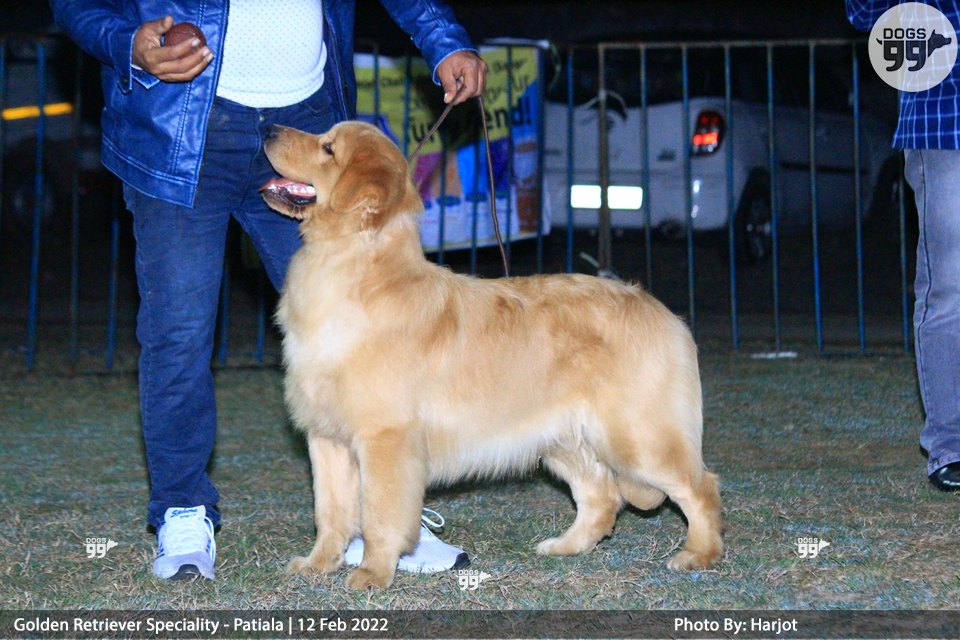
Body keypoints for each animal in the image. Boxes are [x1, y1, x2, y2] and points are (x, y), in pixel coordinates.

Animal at [261, 121, 723, 589]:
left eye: (328, 148)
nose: (269, 127)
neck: (354, 270)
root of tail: (664, 313)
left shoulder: (386, 439)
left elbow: (379, 514)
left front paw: (373, 571)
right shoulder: (327, 439)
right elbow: (330, 512)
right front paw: (319, 563)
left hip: (638, 437)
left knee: (701, 486)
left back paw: (699, 554)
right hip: (562, 438)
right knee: (602, 495)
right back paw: (565, 546)